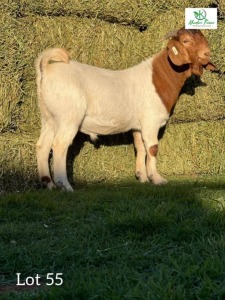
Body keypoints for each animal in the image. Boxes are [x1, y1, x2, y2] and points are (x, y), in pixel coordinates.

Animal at [36, 28, 215, 192]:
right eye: (186, 41)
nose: (207, 53)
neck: (158, 78)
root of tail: (47, 69)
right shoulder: (151, 121)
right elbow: (152, 148)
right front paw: (157, 179)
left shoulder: (138, 126)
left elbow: (140, 147)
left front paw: (142, 177)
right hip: (68, 117)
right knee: (59, 144)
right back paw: (65, 185)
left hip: (49, 118)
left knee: (42, 146)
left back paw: (48, 184)